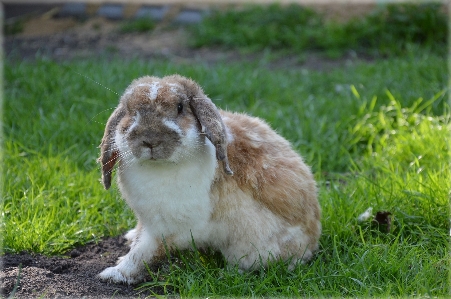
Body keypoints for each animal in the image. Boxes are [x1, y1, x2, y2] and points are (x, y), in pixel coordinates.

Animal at [97, 74, 324, 284]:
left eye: (180, 107)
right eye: (129, 110)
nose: (150, 140)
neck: (158, 167)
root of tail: (313, 238)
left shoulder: (167, 229)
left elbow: (142, 252)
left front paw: (114, 274)